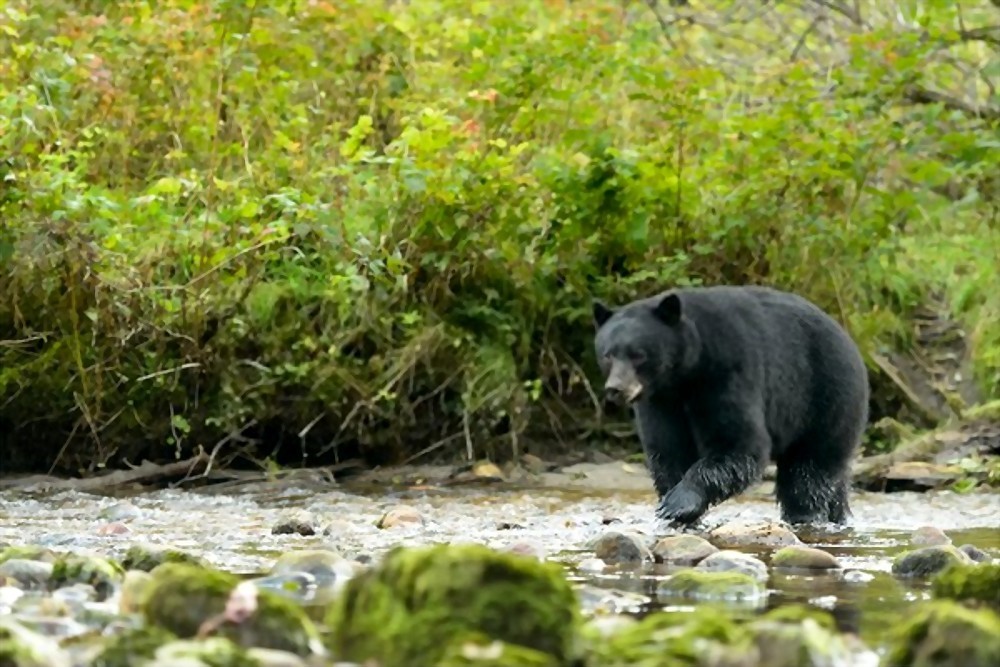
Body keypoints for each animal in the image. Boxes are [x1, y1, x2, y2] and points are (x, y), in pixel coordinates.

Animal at [592, 285, 869, 526]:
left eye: (638, 354)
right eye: (608, 354)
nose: (615, 389)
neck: (684, 377)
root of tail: (851, 343)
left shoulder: (728, 373)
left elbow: (739, 444)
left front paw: (678, 503)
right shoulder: (660, 403)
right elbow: (668, 450)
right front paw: (676, 507)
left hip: (825, 397)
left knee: (809, 469)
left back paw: (805, 514)